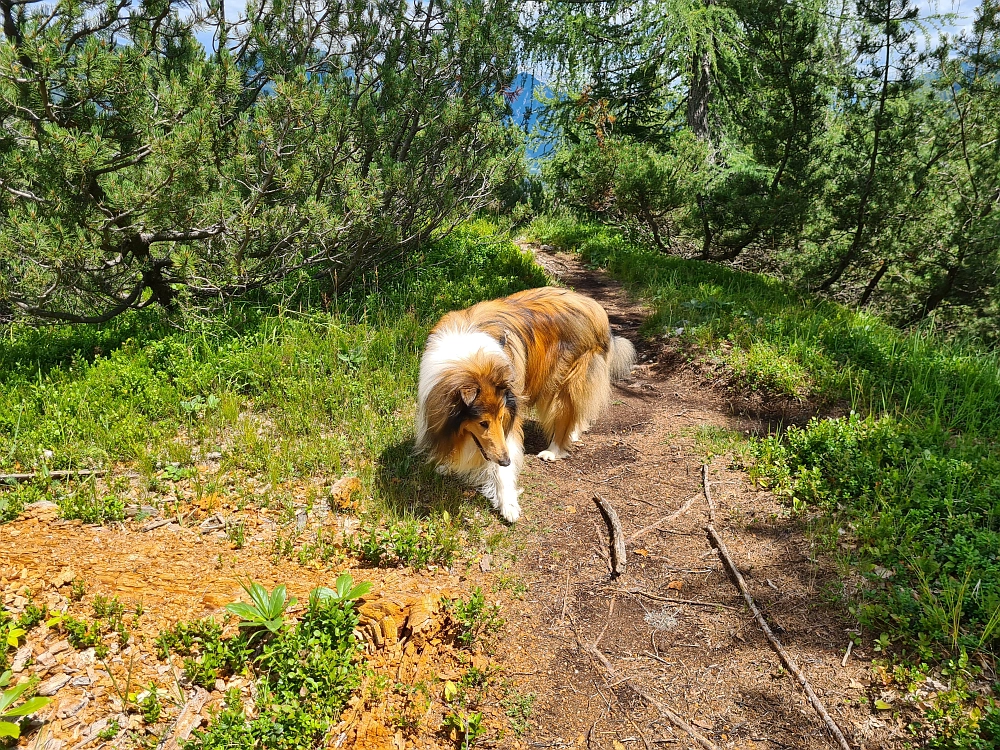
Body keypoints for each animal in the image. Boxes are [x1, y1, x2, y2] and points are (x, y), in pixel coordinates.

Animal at [412, 288, 632, 524]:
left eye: (500, 418)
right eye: (482, 423)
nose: (506, 460)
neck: (470, 359)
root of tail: (595, 307)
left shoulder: (509, 421)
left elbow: (502, 466)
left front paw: (508, 504)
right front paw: (446, 464)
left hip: (564, 383)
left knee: (565, 414)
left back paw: (554, 450)